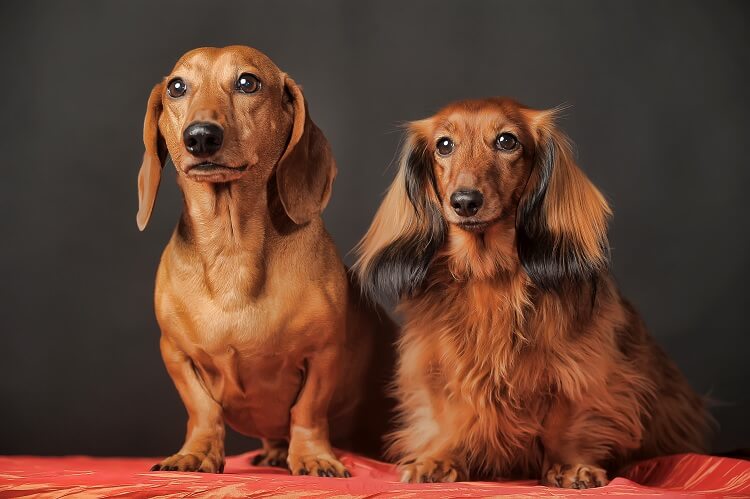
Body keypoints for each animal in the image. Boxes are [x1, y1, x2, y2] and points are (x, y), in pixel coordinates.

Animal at [139, 46, 402, 476]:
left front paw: (313, 456)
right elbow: (202, 409)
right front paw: (196, 452)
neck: (232, 251)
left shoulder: (323, 353)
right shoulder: (176, 353)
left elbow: (307, 411)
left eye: (248, 82)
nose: (200, 137)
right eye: (177, 87)